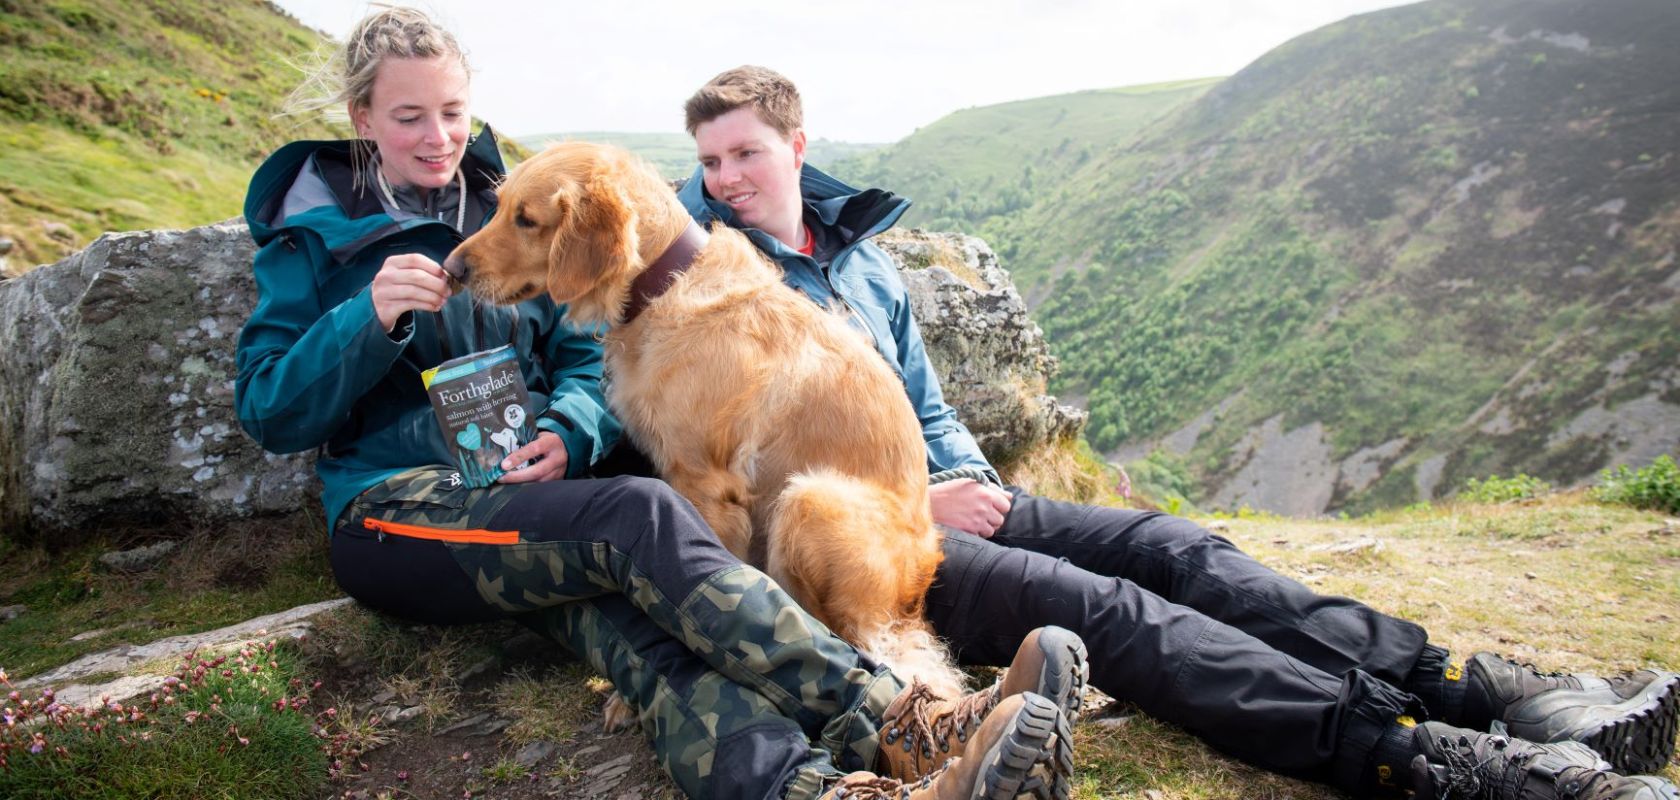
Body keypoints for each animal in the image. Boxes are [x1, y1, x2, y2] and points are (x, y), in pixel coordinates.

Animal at [446, 142, 967, 699]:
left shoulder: (705, 485)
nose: (451, 268)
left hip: (807, 499)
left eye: (526, 219)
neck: (661, 285)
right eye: (500, 206)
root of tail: (915, 592)